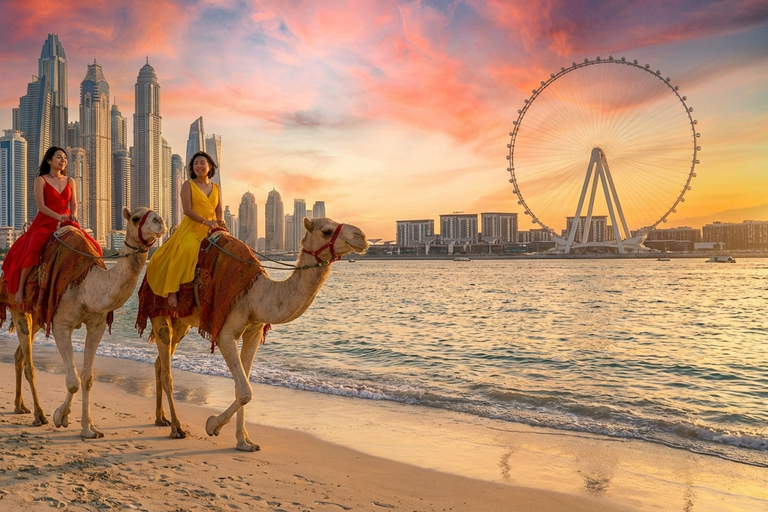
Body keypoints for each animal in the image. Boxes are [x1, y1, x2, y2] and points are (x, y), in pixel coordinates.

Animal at [6, 206, 166, 437]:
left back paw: (20, 406)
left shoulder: (96, 325)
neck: (87, 287)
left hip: (37, 315)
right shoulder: (61, 325)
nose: (160, 221)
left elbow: (87, 378)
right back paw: (39, 415)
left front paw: (89, 427)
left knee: (19, 356)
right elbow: (73, 381)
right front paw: (60, 416)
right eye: (136, 218)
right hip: (19, 308)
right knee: (30, 365)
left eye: (155, 214)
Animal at [148, 217, 367, 451]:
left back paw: (161, 419)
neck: (256, 295)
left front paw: (244, 442)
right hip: (159, 312)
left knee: (159, 363)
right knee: (167, 371)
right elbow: (246, 391)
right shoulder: (225, 335)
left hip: (181, 321)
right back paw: (177, 428)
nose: (361, 237)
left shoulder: (253, 332)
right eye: (326, 231)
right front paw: (212, 425)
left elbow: (241, 387)